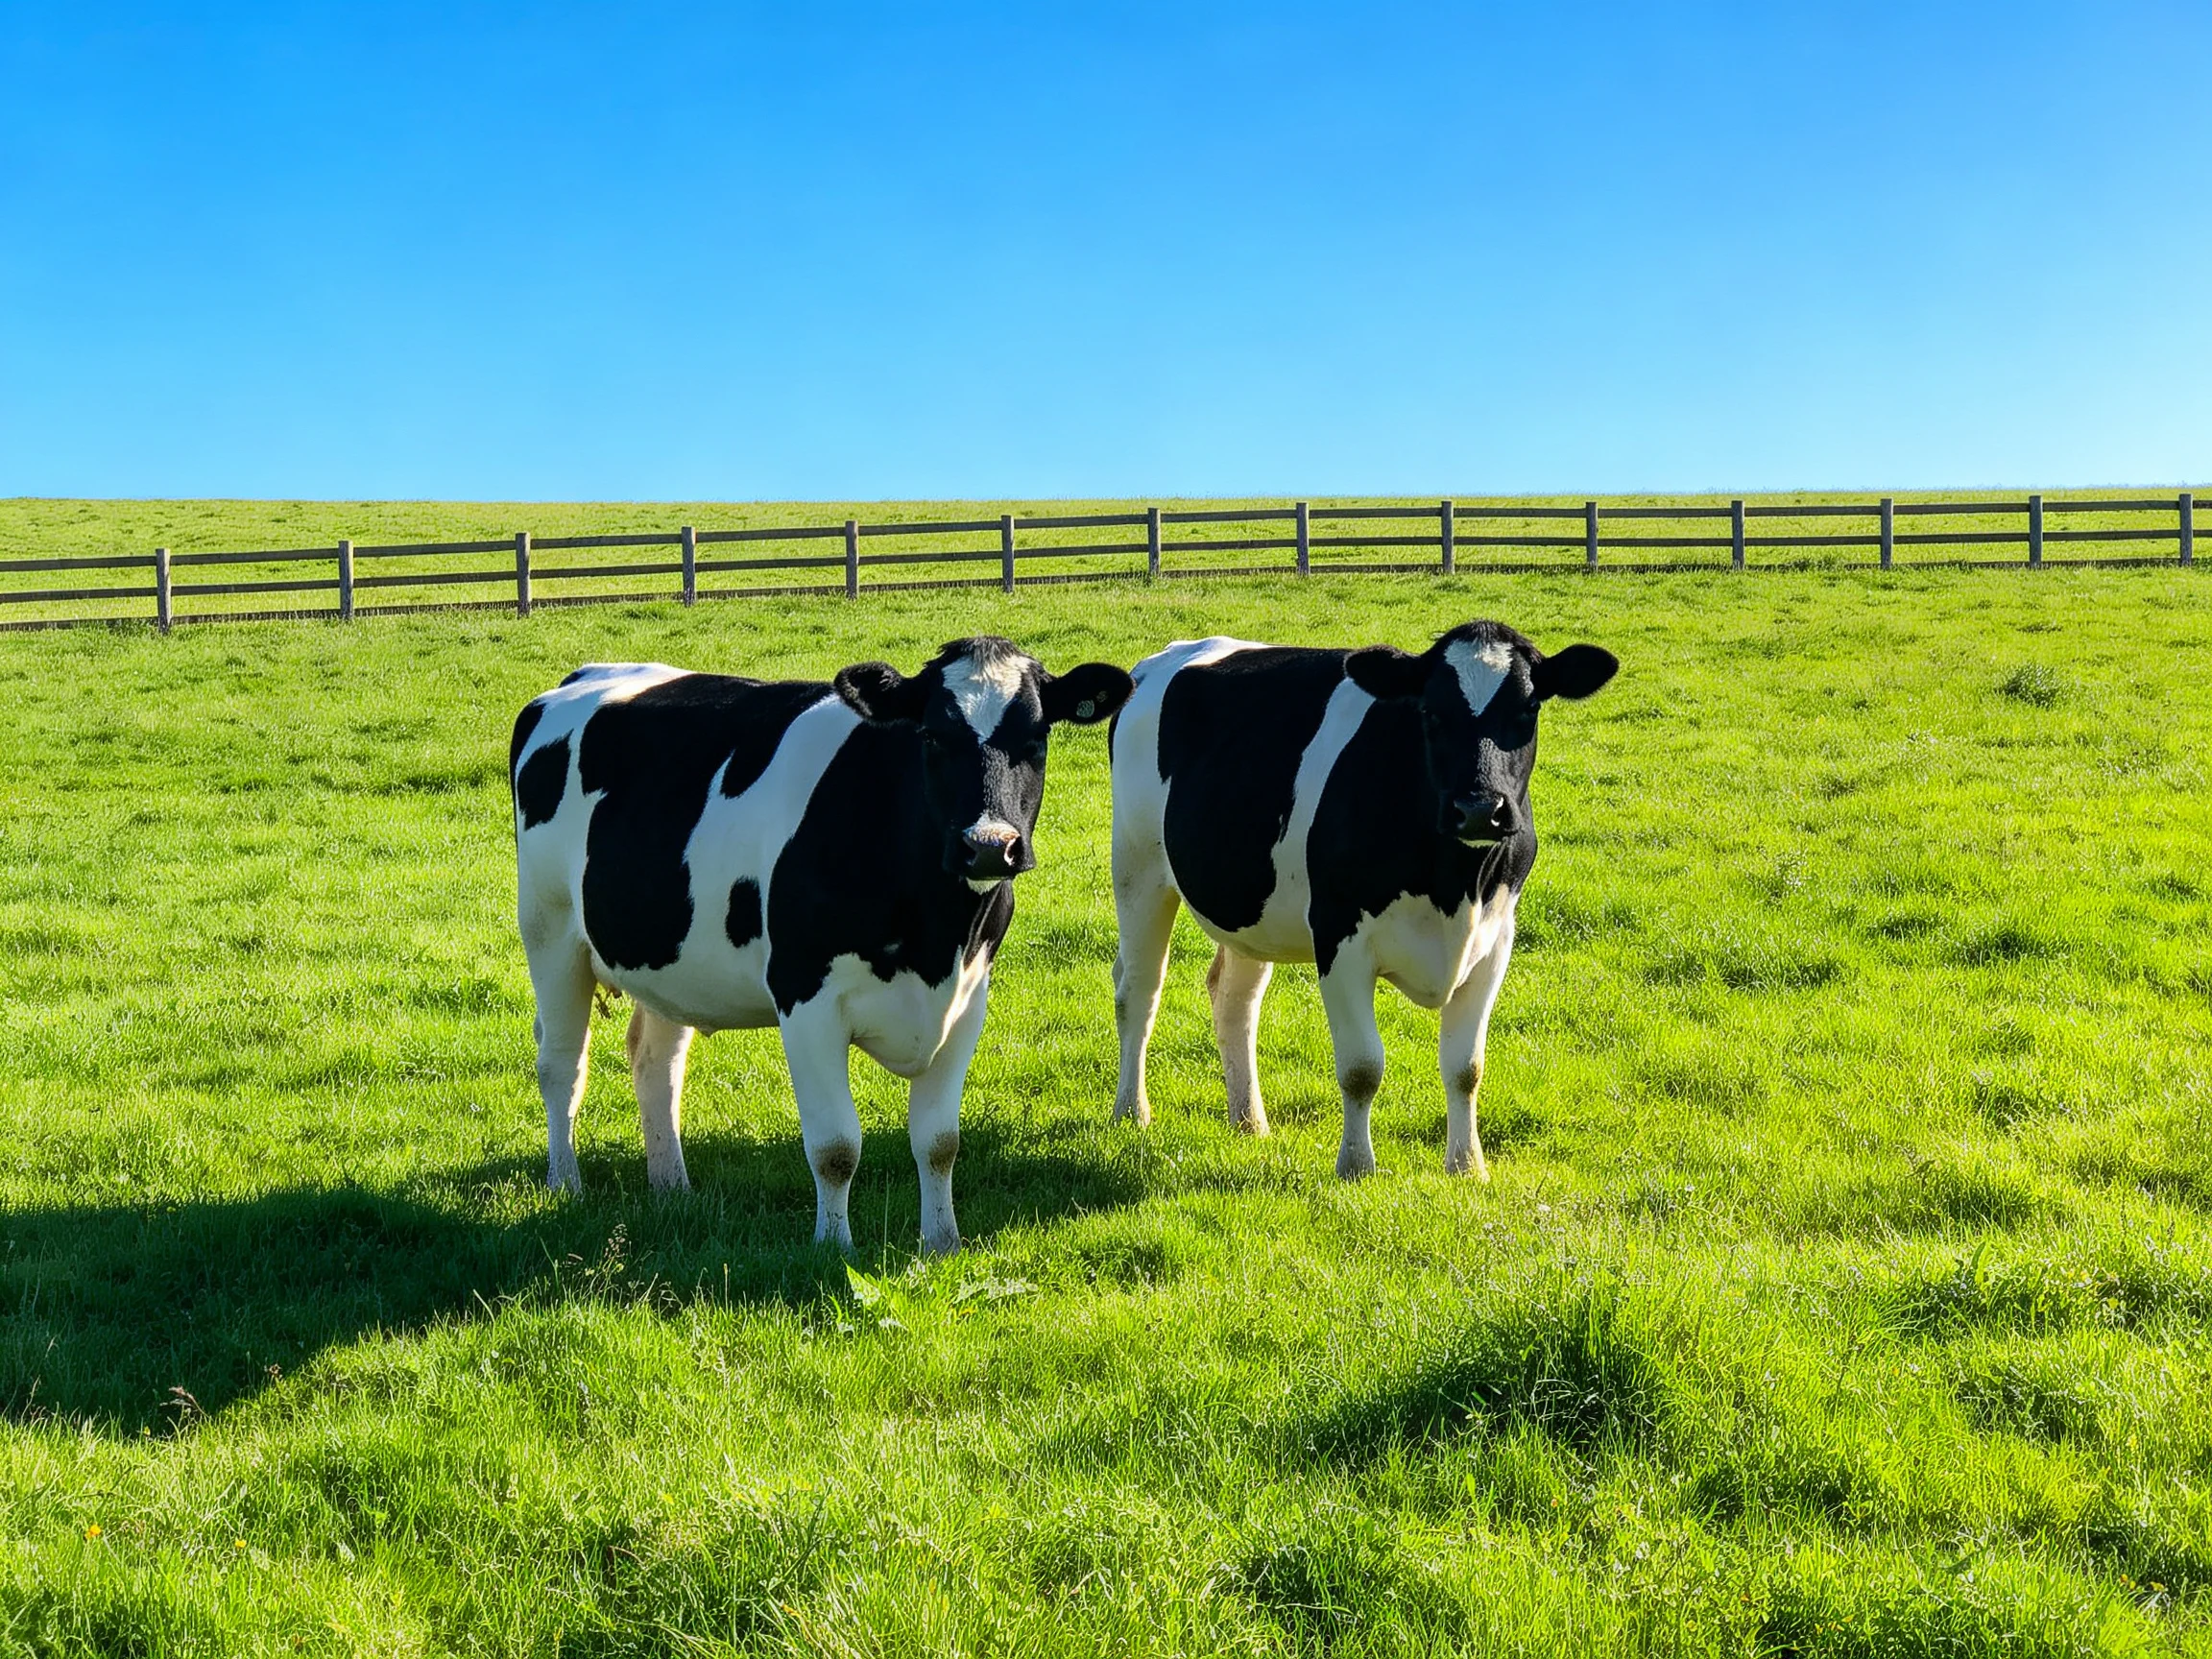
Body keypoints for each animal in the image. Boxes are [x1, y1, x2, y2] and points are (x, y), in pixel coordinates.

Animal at [510, 637, 1133, 1254]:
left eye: (1036, 737)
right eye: (933, 735)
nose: (986, 847)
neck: (935, 935)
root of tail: (582, 676)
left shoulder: (968, 998)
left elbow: (940, 1142)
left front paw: (942, 1243)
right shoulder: (805, 998)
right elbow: (836, 1147)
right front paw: (834, 1248)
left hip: (669, 961)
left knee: (654, 1063)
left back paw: (673, 1190)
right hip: (550, 932)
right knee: (561, 1064)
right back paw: (567, 1185)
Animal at [1108, 622, 1616, 1181]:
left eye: (1529, 708)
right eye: (1431, 711)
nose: (1481, 809)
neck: (1454, 887)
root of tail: (1167, 657)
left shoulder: (1496, 938)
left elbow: (1466, 1068)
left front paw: (1467, 1166)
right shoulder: (1339, 936)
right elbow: (1361, 1067)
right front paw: (1355, 1166)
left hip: (1248, 907)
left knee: (1234, 1001)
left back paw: (1250, 1122)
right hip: (1137, 867)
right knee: (1139, 990)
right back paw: (1132, 1111)